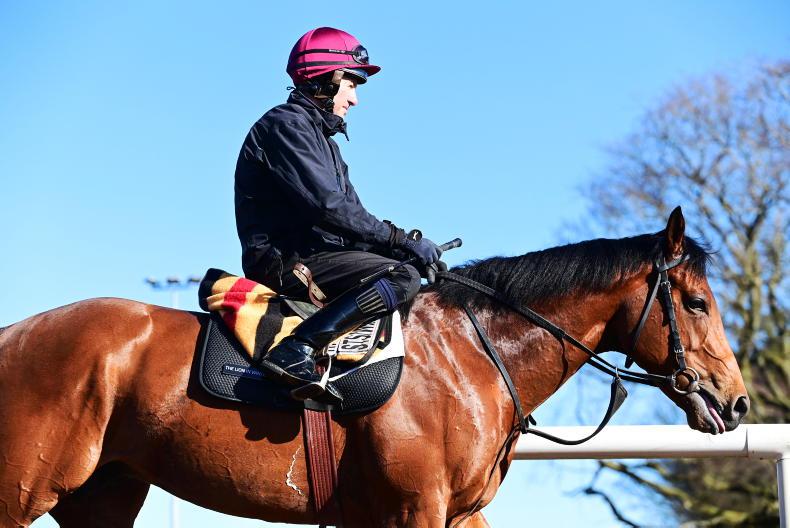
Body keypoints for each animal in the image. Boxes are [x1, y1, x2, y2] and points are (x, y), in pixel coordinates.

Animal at [0, 208, 749, 527]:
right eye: (697, 301)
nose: (737, 402)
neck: (471, 357)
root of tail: (15, 335)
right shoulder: (415, 509)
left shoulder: (454, 515)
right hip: (22, 490)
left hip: (100, 496)